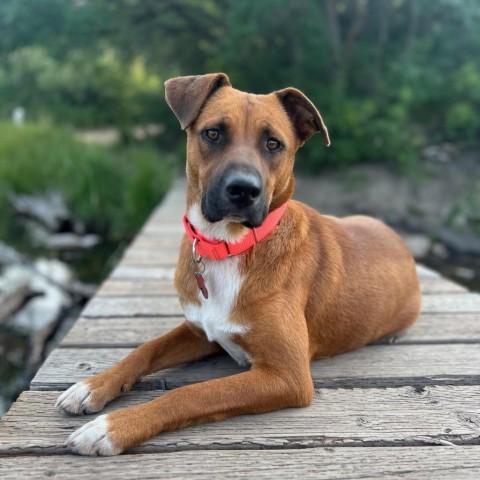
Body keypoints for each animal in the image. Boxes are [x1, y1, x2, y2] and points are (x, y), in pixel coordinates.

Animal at [55, 73, 420, 456]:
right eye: (213, 133)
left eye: (274, 144)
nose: (243, 190)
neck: (228, 246)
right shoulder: (201, 331)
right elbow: (146, 349)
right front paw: (93, 385)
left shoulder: (287, 375)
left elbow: (193, 393)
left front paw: (113, 426)